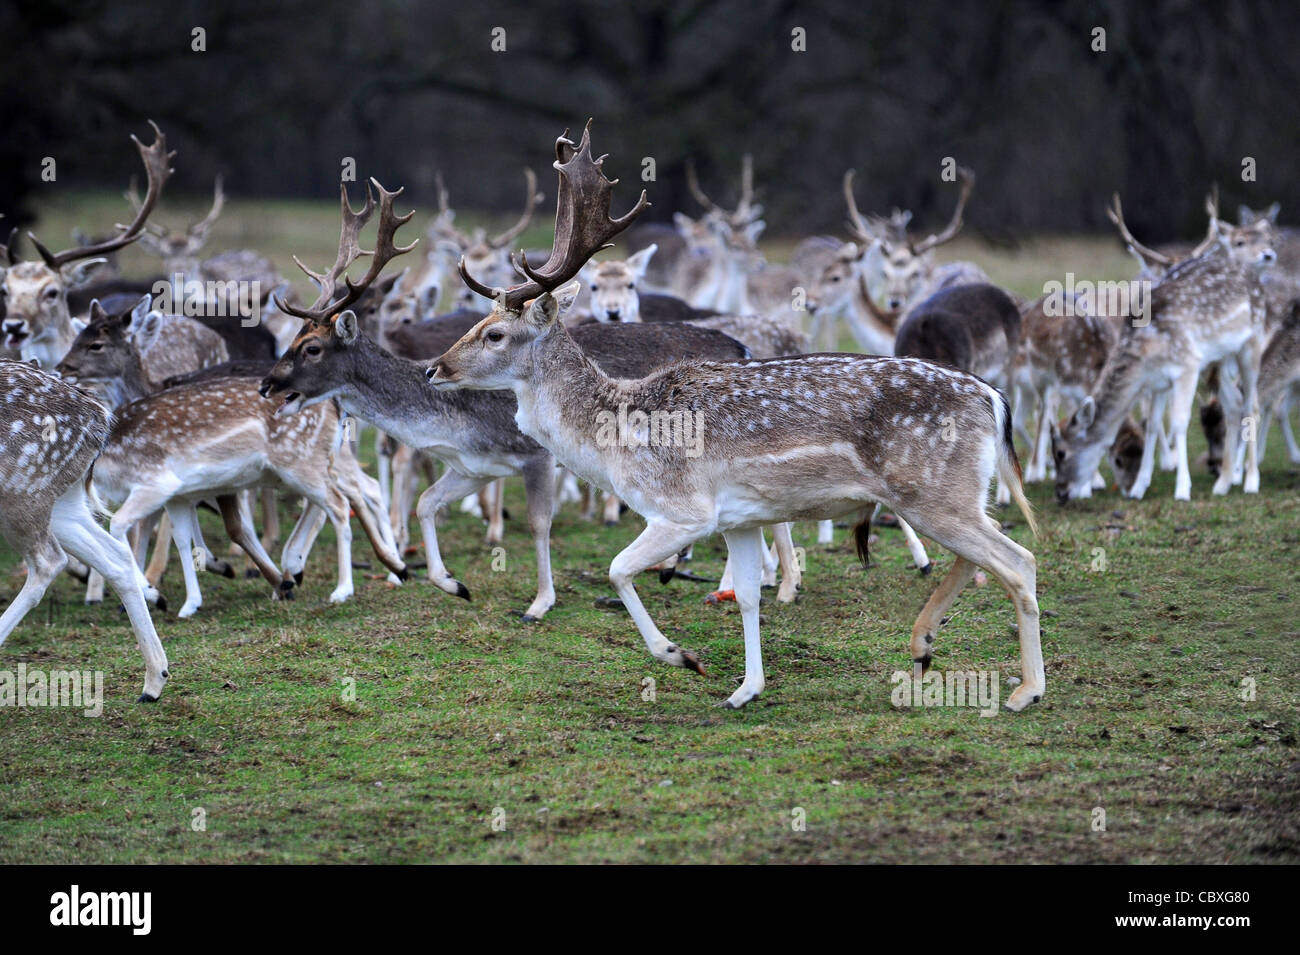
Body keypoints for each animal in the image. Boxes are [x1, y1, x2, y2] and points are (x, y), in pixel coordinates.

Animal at [431, 121, 1040, 712]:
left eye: (494, 333)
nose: (436, 368)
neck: (612, 442)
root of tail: (993, 400)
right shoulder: (741, 519)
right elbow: (746, 595)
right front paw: (745, 689)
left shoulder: (684, 511)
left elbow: (618, 569)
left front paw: (681, 656)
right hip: (954, 493)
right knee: (984, 555)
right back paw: (923, 646)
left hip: (933, 490)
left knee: (1019, 560)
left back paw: (1024, 690)